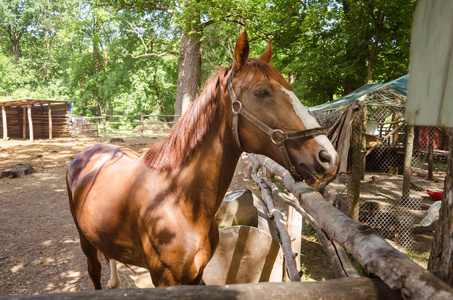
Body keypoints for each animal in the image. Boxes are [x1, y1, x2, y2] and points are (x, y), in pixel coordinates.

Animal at [66, 31, 336, 288]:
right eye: (261, 92)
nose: (328, 157)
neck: (178, 200)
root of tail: (88, 153)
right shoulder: (164, 279)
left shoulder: (196, 276)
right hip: (85, 241)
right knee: (94, 272)